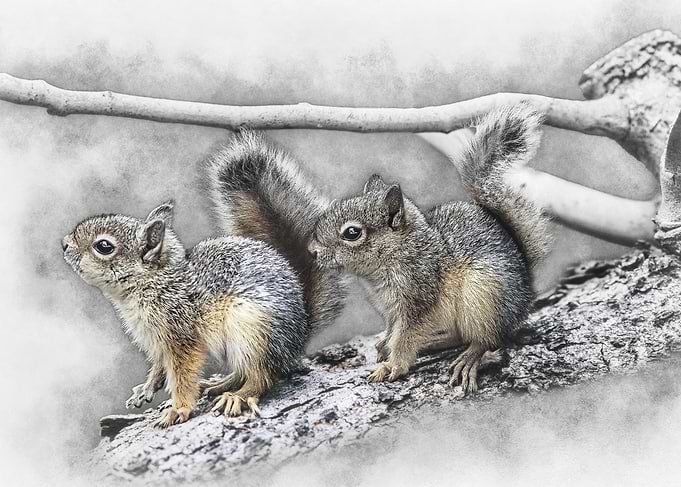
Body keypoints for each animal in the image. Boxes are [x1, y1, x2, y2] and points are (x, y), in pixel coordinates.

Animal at [62, 133, 345, 426]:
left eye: (104, 246)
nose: (64, 244)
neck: (155, 283)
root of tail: (300, 332)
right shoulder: (157, 341)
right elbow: (159, 367)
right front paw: (146, 389)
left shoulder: (180, 333)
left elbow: (182, 374)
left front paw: (179, 408)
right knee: (247, 371)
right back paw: (220, 384)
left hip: (254, 329)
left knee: (263, 375)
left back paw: (237, 396)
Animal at [307, 104, 550, 393]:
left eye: (352, 233)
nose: (312, 251)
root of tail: (526, 288)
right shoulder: (391, 309)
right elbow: (392, 331)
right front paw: (383, 345)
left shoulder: (419, 298)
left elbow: (405, 337)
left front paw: (393, 365)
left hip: (484, 297)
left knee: (488, 338)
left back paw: (469, 357)